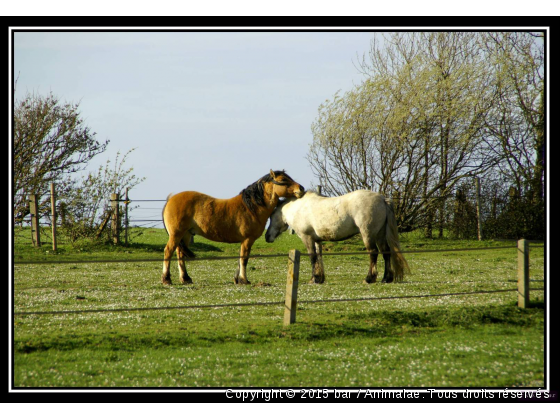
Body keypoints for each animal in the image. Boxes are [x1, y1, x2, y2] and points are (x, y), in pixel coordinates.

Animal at [160, 171, 304, 286]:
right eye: (283, 180)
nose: (301, 188)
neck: (251, 208)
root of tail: (171, 199)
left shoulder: (244, 241)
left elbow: (241, 259)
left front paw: (237, 279)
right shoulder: (247, 240)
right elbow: (244, 259)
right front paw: (244, 280)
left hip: (185, 234)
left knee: (180, 254)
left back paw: (185, 278)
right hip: (176, 234)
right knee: (168, 251)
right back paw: (166, 279)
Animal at [264, 192, 410, 284]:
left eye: (271, 215)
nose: (267, 236)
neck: (299, 208)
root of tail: (383, 199)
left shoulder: (307, 238)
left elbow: (312, 258)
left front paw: (314, 278)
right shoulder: (317, 240)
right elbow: (319, 257)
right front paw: (319, 278)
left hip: (368, 234)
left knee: (373, 253)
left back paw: (369, 278)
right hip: (380, 235)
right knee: (386, 253)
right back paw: (386, 278)